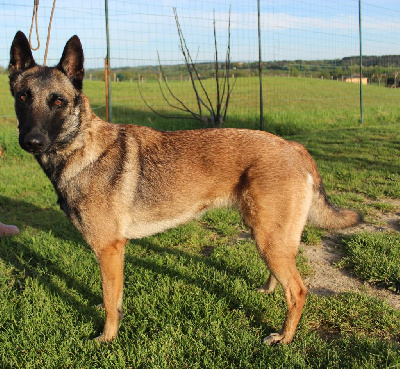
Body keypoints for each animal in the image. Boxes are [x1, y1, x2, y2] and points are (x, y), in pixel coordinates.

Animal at [8, 30, 360, 344]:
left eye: (58, 101)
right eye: (23, 98)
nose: (31, 141)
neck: (80, 146)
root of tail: (294, 147)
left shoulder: (109, 249)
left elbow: (109, 301)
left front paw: (107, 337)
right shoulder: (112, 254)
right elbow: (112, 296)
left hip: (268, 237)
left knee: (298, 291)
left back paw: (284, 338)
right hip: (267, 235)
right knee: (284, 276)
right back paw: (268, 291)